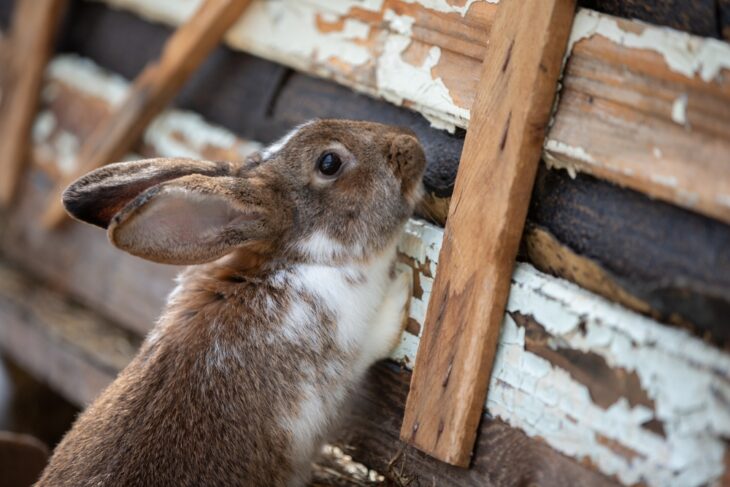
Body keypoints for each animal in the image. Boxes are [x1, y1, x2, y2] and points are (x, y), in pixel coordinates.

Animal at [36, 119, 426, 487]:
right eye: (329, 162)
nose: (412, 144)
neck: (289, 261)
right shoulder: (355, 339)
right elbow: (384, 333)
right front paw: (404, 284)